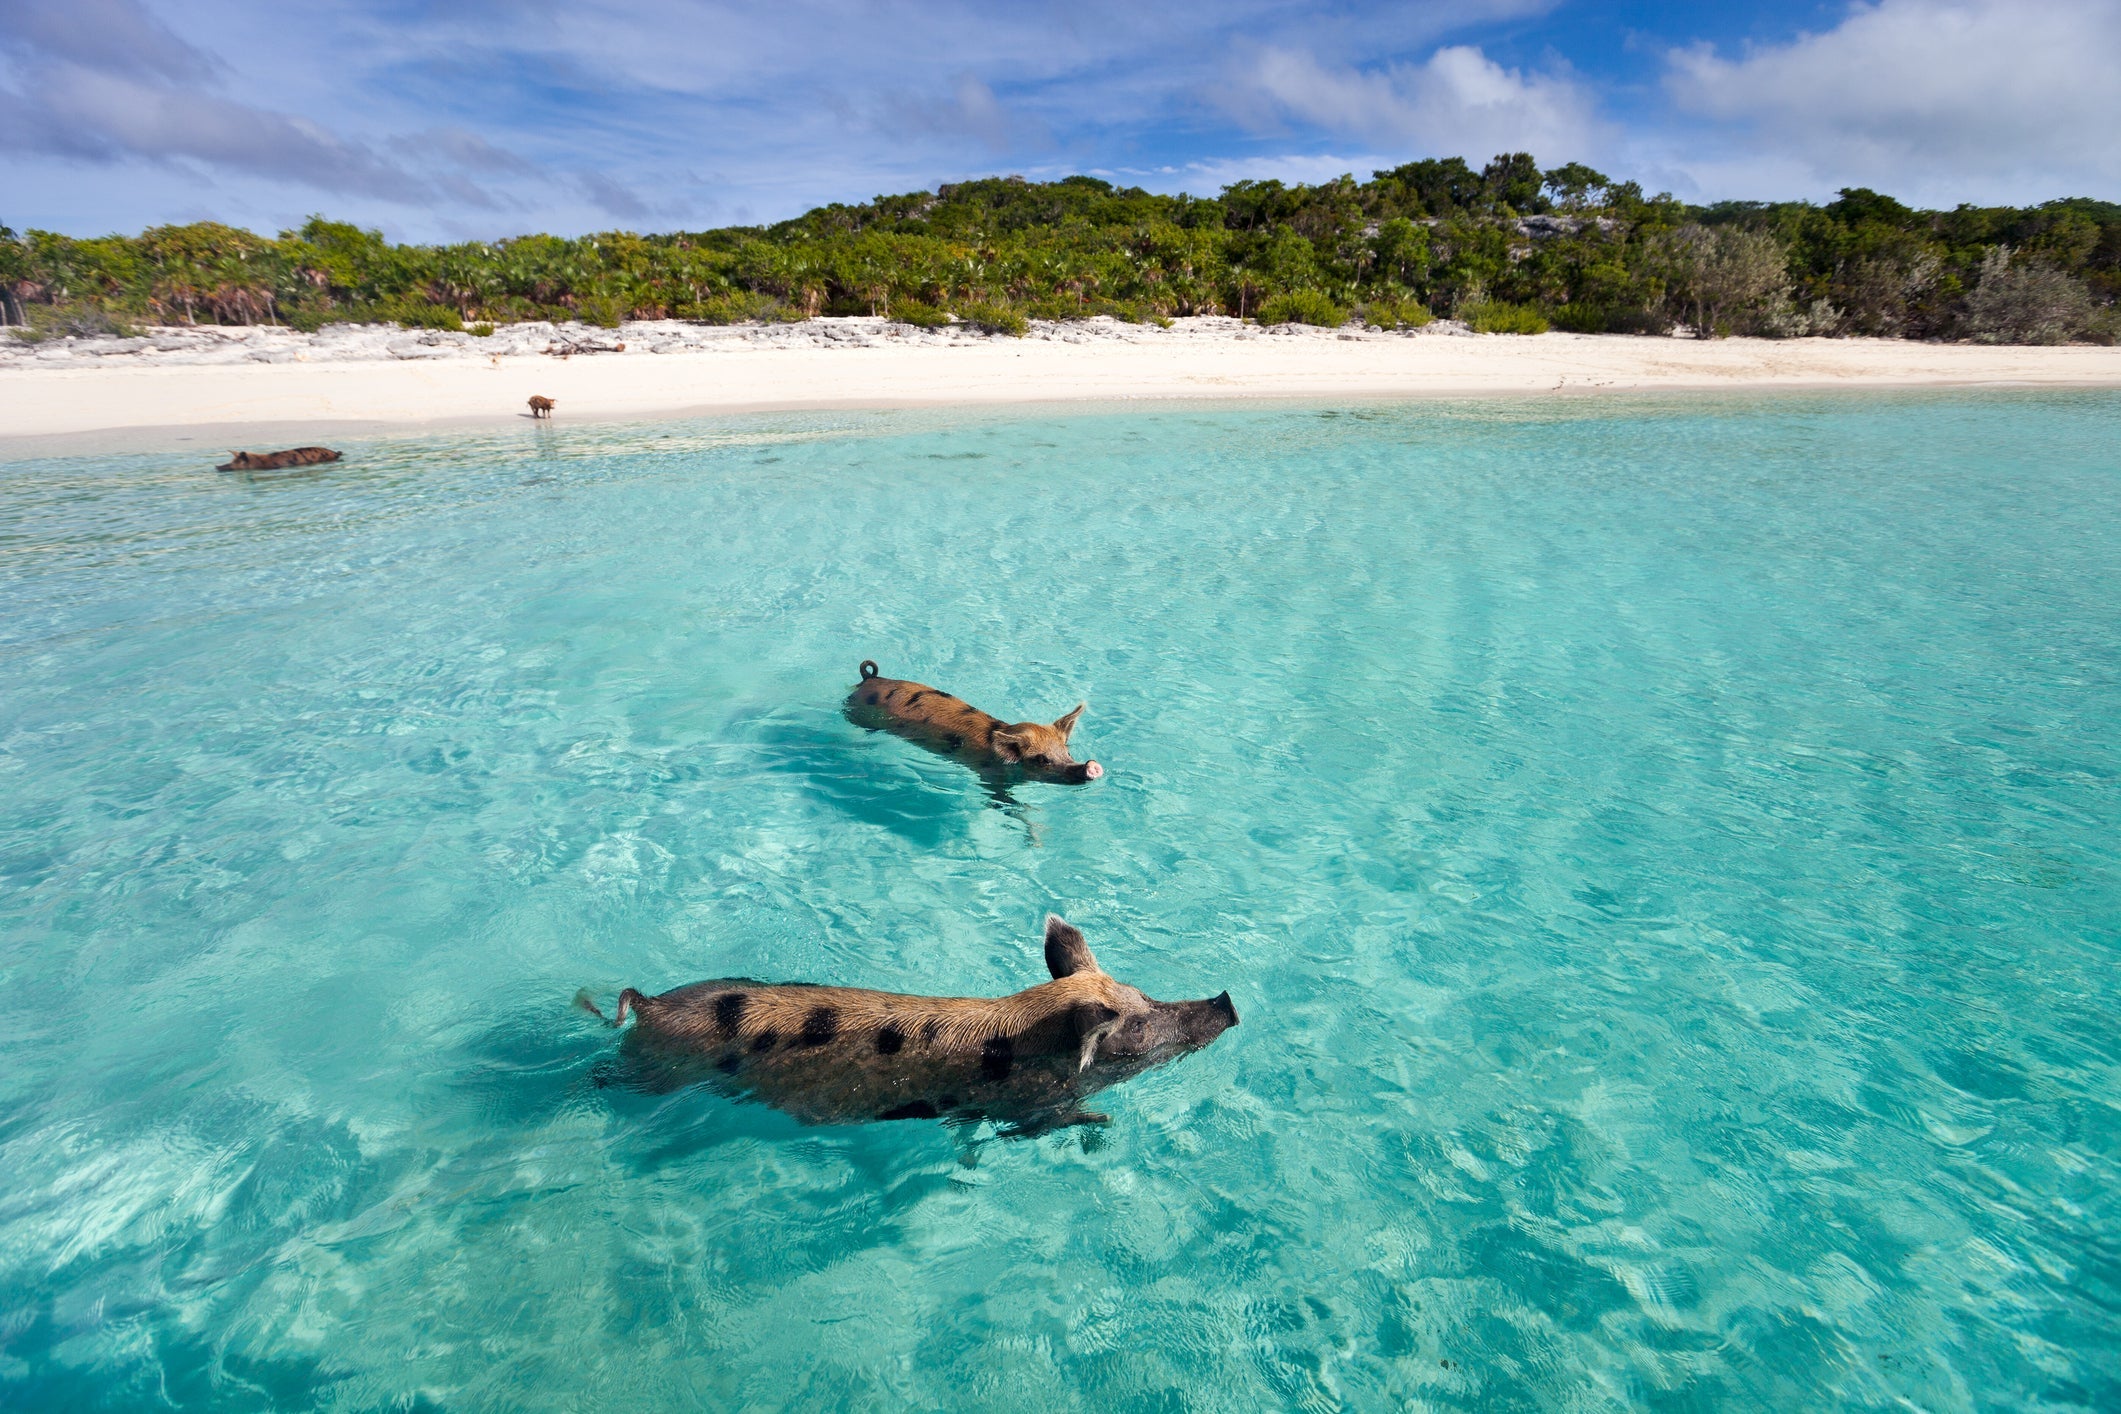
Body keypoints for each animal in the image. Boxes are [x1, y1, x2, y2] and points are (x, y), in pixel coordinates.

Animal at [578, 915, 1236, 1135]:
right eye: (1139, 1025)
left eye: (1144, 993)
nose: (1228, 1000)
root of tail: (648, 1003)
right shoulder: (1026, 1105)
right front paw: (1102, 1122)